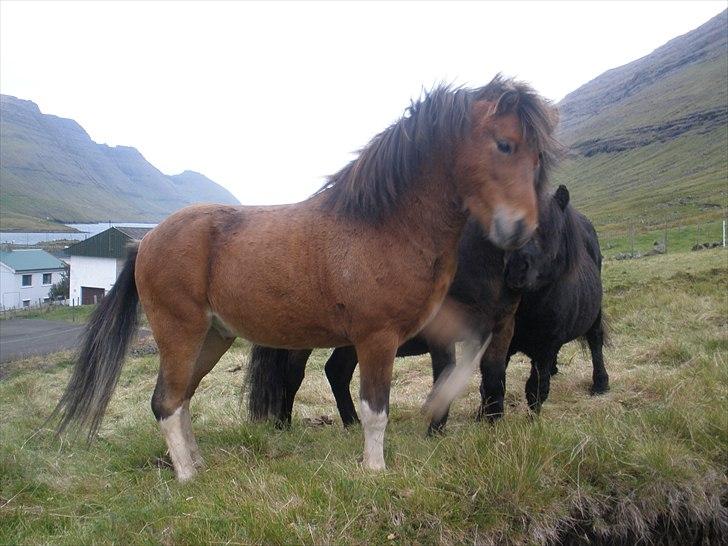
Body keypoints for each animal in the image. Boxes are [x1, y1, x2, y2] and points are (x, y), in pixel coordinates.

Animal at [55, 76, 556, 480]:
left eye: (538, 156)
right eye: (505, 144)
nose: (520, 232)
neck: (383, 225)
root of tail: (144, 244)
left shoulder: (429, 323)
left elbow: (473, 349)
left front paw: (435, 408)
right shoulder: (377, 337)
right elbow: (376, 408)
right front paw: (375, 470)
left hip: (212, 338)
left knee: (180, 399)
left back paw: (196, 463)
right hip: (181, 333)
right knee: (165, 401)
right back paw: (187, 478)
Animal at [246, 187, 608, 430]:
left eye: (549, 227)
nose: (519, 268)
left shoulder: (500, 329)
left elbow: (494, 376)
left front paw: (492, 424)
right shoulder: (442, 334)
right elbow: (444, 375)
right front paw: (436, 429)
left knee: (336, 371)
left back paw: (350, 424)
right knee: (293, 375)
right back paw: (284, 424)